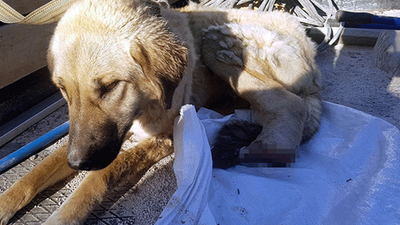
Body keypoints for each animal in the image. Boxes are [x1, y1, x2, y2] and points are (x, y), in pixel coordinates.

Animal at [0, 0, 322, 223]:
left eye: (110, 86)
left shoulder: (161, 137)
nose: (78, 162)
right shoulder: (89, 140)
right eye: (63, 90)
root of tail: (307, 40)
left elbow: (101, 175)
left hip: (214, 42)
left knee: (291, 104)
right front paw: (5, 203)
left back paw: (269, 147)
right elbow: (39, 170)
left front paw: (66, 215)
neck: (146, 99)